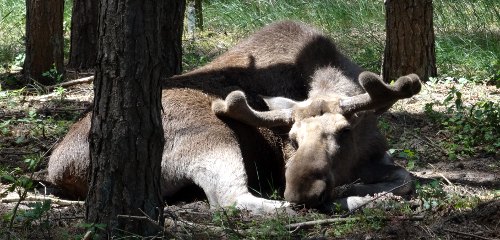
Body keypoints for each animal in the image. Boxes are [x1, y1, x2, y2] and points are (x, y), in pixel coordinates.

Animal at [47, 20, 422, 212]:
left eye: (344, 132)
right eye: (292, 139)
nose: (302, 191)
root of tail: (59, 169)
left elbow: (405, 176)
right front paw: (355, 190)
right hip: (214, 138)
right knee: (232, 200)